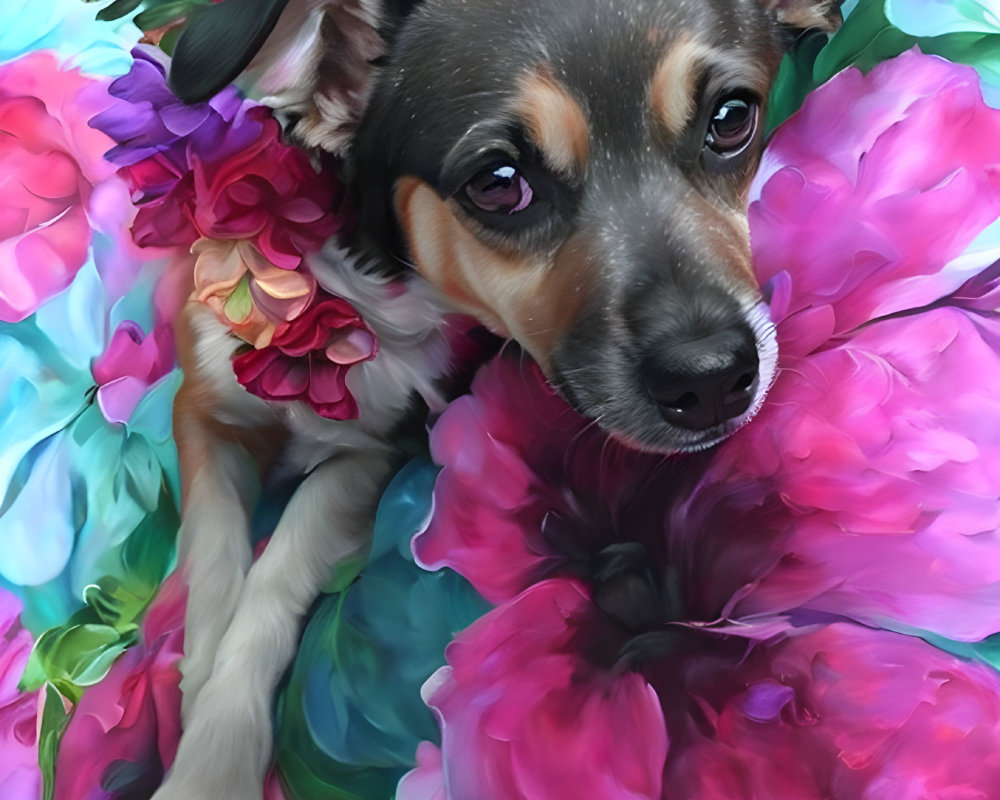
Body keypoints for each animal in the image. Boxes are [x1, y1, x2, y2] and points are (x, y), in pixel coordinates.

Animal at [152, 3, 840, 796]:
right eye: (498, 183)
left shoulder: (375, 454)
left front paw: (213, 752)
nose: (711, 378)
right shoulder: (204, 413)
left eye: (731, 119)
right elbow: (212, 561)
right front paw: (196, 689)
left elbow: (276, 563)